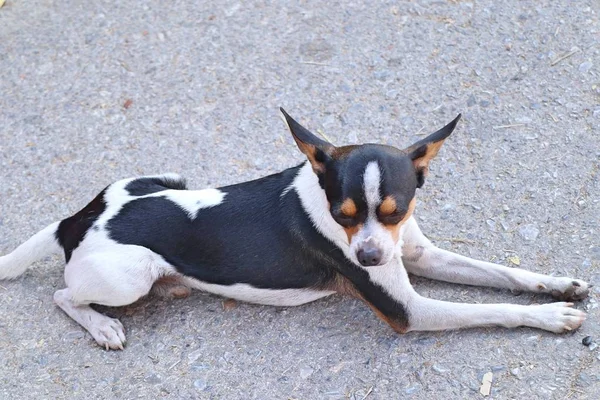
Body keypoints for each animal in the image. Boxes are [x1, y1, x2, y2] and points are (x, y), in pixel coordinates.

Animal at [0, 109, 592, 350]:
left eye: (395, 210)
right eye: (342, 214)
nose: (369, 259)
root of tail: (78, 218)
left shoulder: (416, 254)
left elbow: (502, 276)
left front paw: (557, 285)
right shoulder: (410, 311)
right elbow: (492, 306)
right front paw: (552, 316)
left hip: (165, 177)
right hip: (128, 277)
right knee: (63, 295)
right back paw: (102, 326)